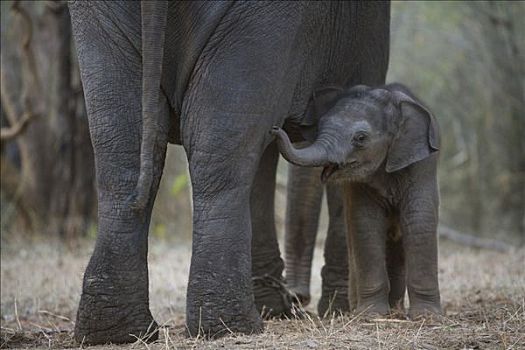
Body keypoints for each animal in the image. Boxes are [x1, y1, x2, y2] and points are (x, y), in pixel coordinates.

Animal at [67, 0, 388, 344]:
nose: (298, 298)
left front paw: (281, 308)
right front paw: (339, 310)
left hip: (97, 15)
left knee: (123, 149)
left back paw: (119, 332)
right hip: (262, 19)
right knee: (218, 158)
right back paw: (234, 327)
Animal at [272, 83, 440, 318]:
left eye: (360, 138)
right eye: (320, 125)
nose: (275, 129)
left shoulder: (421, 165)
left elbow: (419, 220)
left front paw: (427, 317)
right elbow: (365, 223)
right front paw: (371, 315)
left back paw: (395, 310)